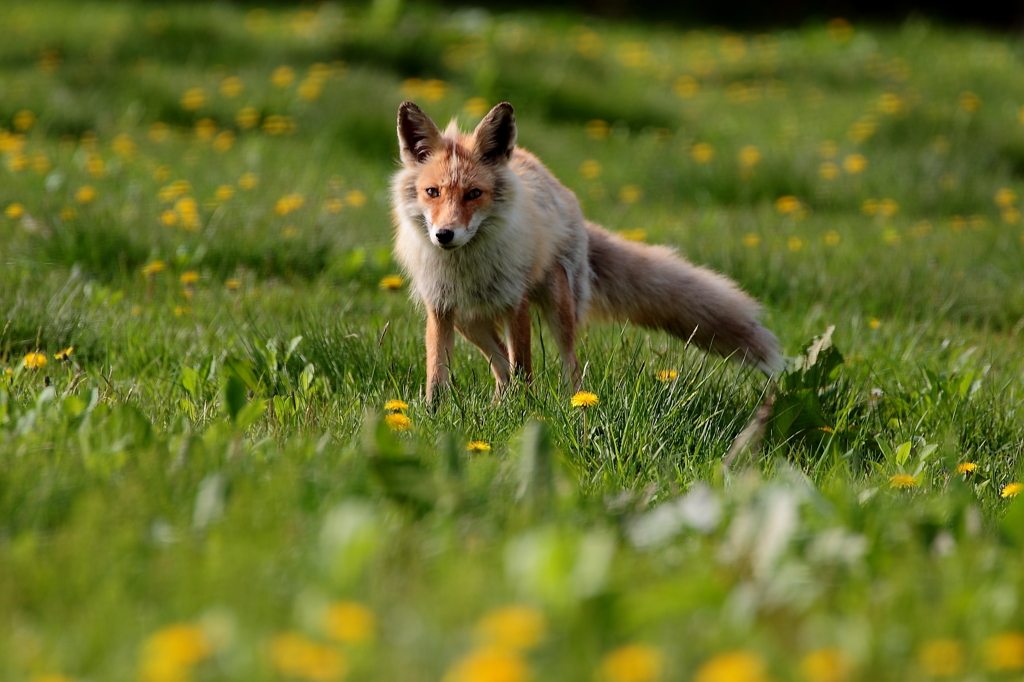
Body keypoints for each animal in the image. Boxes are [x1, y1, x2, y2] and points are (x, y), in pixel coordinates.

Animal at [391, 98, 782, 401]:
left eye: (474, 194)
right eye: (432, 192)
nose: (445, 235)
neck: (466, 265)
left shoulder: (515, 301)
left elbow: (524, 367)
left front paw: (526, 413)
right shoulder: (440, 307)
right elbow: (437, 374)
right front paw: (434, 417)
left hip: (558, 306)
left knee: (568, 365)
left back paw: (574, 406)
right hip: (470, 323)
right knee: (500, 365)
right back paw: (501, 405)